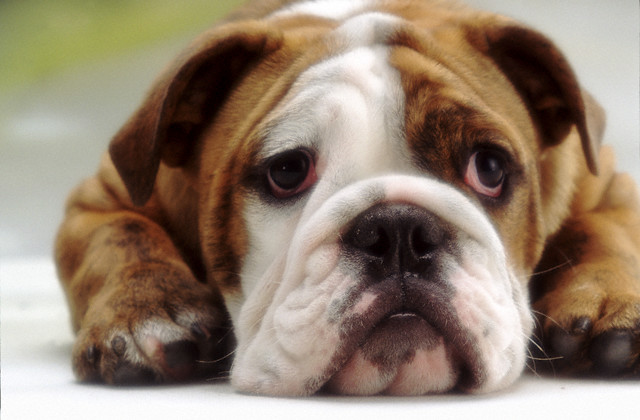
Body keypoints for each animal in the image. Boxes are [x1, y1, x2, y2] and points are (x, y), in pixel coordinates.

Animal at [55, 0, 640, 395]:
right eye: (287, 170)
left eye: (489, 167)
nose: (400, 229)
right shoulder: (106, 195)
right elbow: (120, 240)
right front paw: (145, 313)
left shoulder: (604, 182)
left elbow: (605, 229)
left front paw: (611, 300)